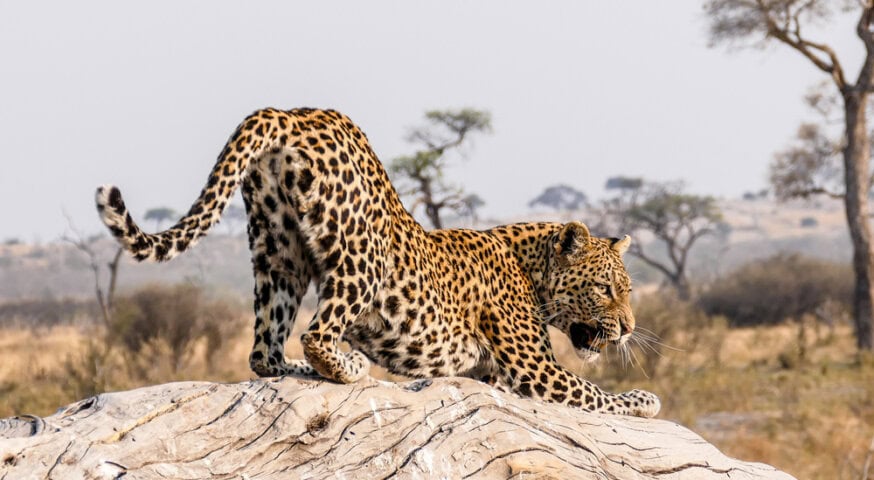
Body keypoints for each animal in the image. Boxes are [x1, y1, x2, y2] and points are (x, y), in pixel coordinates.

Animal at [95, 107, 660, 417]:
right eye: (607, 289)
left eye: (627, 289)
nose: (630, 328)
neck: (531, 266)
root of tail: (293, 112)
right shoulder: (537, 370)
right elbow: (598, 395)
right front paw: (643, 401)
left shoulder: (499, 376)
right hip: (361, 258)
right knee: (317, 333)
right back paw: (349, 367)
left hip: (279, 256)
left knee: (263, 353)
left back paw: (300, 369)